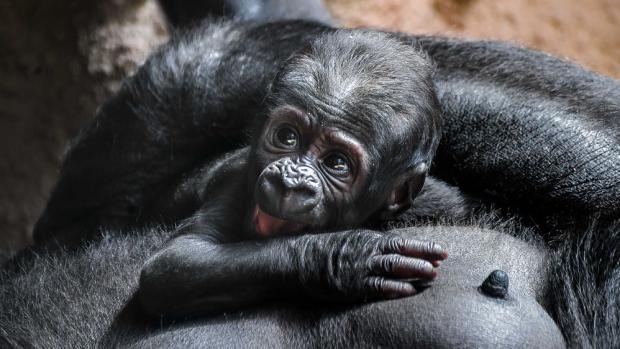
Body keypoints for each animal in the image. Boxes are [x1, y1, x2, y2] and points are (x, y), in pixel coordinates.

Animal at [137, 29, 446, 318]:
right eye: (288, 136)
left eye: (337, 162)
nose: (289, 181)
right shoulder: (233, 180)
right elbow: (174, 263)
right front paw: (347, 256)